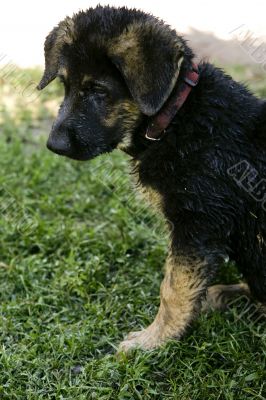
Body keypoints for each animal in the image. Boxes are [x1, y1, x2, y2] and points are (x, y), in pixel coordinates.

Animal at [37, 5, 266, 350]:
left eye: (98, 91)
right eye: (65, 85)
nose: (54, 146)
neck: (176, 117)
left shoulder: (198, 224)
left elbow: (173, 289)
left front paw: (152, 342)